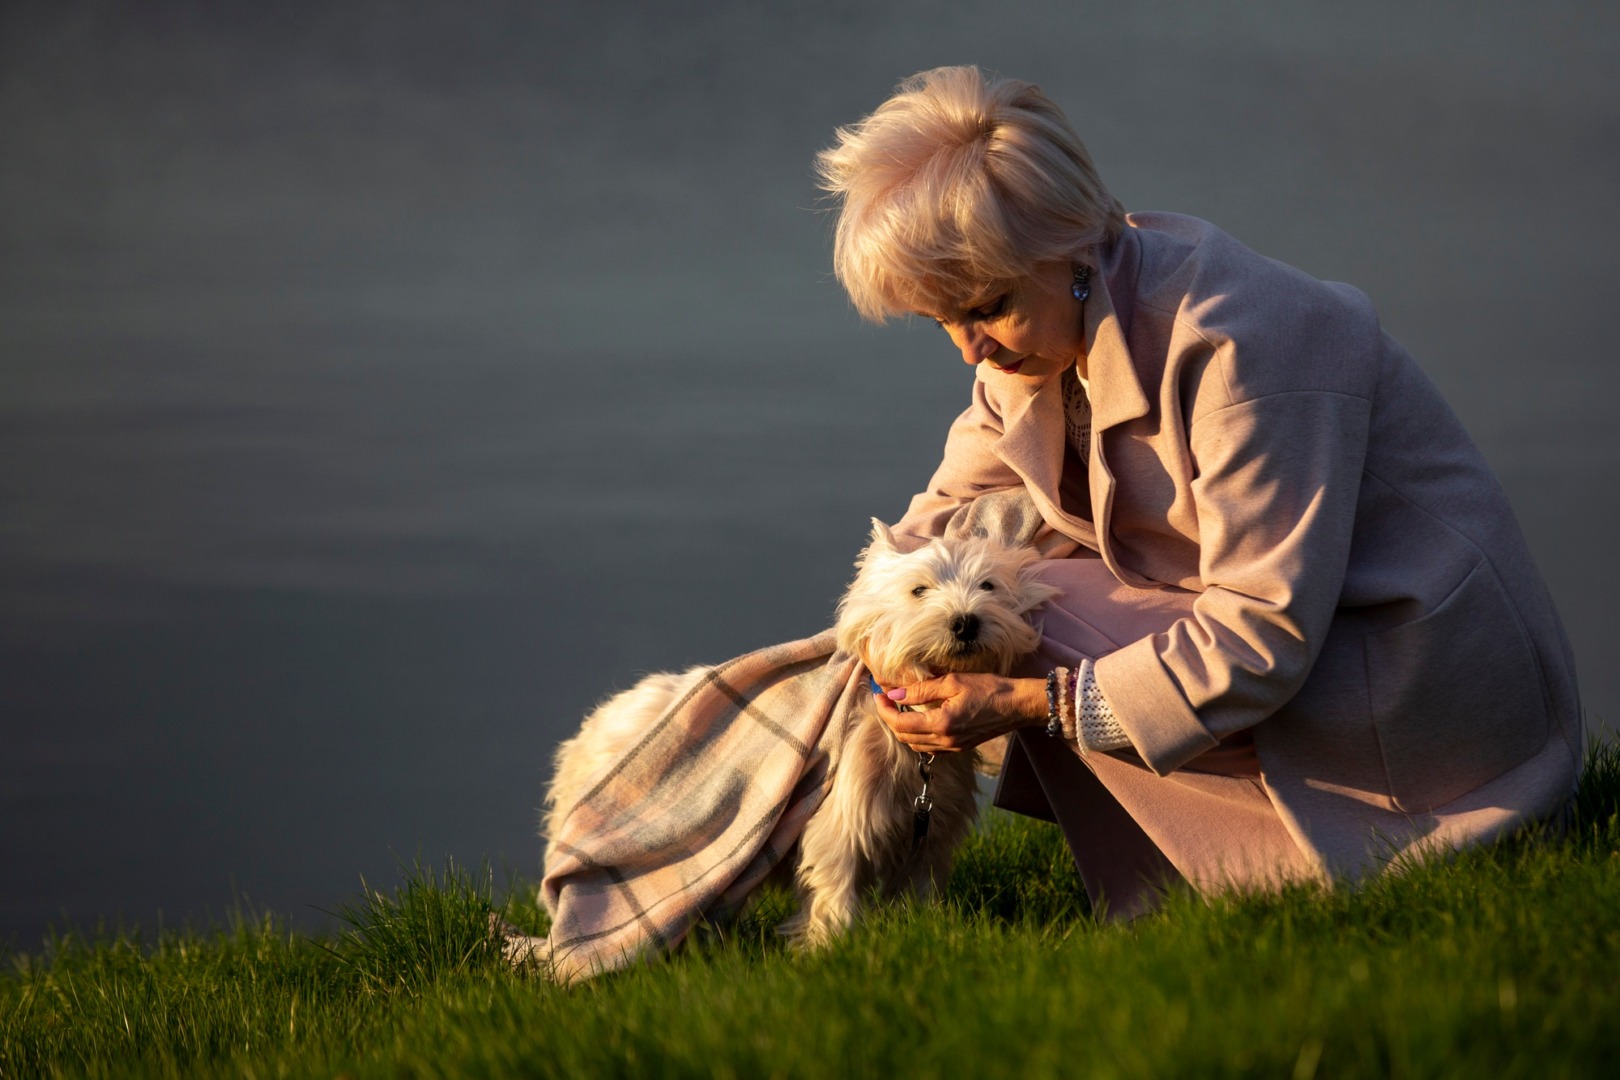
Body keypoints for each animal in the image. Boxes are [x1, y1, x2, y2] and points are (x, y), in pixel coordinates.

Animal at [537, 521, 1056, 945]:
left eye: (988, 585)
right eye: (918, 590)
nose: (966, 622)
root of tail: (590, 728)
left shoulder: (930, 833)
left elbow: (918, 895)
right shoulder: (842, 825)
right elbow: (836, 891)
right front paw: (833, 948)